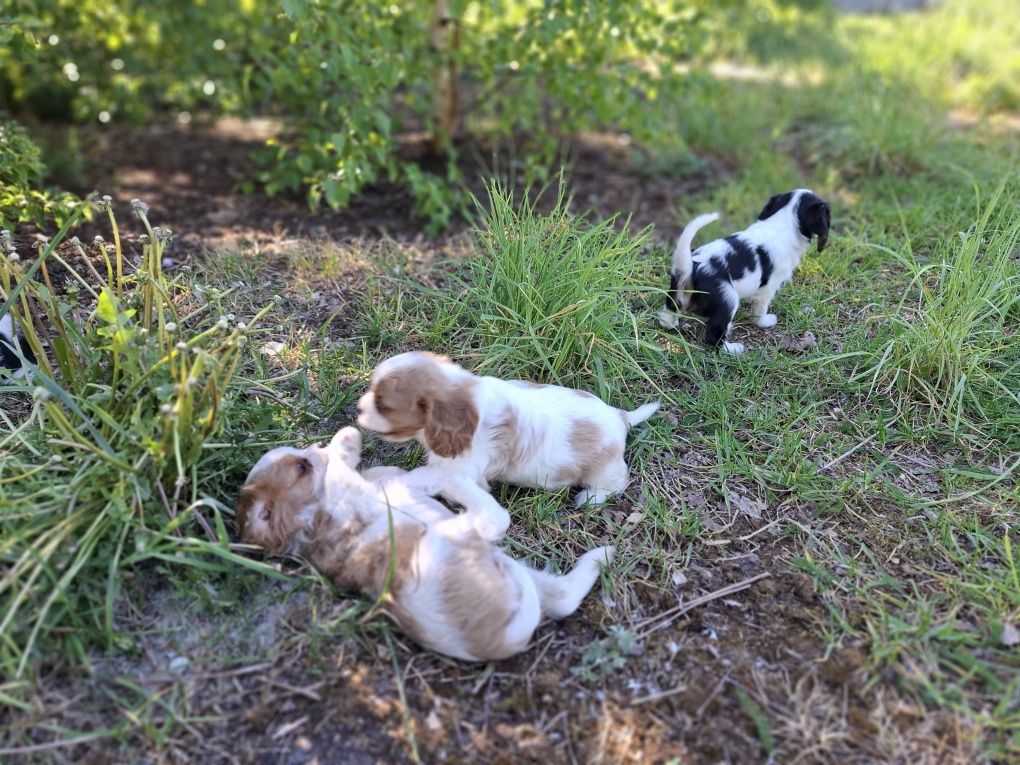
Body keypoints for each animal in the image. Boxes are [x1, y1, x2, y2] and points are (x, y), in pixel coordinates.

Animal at [236, 428, 612, 660]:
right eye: (300, 468)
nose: (313, 449)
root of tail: (510, 636)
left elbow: (380, 474)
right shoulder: (342, 494)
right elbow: (339, 467)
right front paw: (345, 439)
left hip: (516, 571)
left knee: (563, 597)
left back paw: (602, 556)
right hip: (453, 540)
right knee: (493, 517)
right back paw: (456, 478)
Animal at [357, 352, 660, 510]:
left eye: (382, 405)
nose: (359, 408)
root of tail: (619, 416)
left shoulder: (463, 468)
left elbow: (425, 475)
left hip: (604, 469)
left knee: (617, 483)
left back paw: (590, 498)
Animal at [656, 188, 832, 352]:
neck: (784, 220)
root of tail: (692, 268)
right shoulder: (767, 288)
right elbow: (760, 309)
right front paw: (764, 322)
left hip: (675, 293)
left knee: (667, 316)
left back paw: (672, 324)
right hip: (728, 297)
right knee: (713, 334)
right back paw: (733, 349)